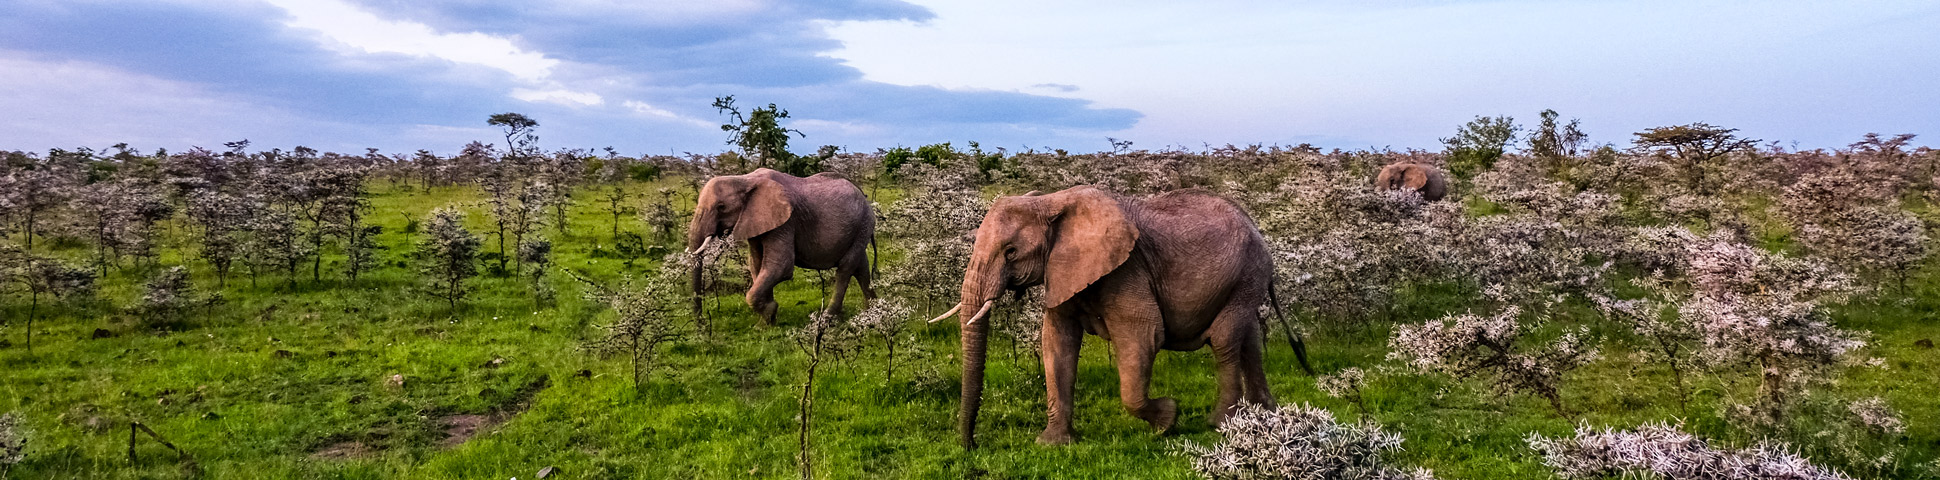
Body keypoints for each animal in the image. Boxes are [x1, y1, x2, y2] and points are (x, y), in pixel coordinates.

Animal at [679, 168, 869, 326]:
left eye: (721, 207)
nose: (701, 323)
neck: (745, 180)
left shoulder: (785, 222)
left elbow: (780, 266)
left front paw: (768, 313)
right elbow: (757, 265)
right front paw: (765, 323)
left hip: (863, 225)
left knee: (845, 268)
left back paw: (828, 319)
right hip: (860, 229)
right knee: (861, 268)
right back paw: (870, 311)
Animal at [927, 185, 1319, 448]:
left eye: (1010, 252)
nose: (971, 446)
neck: (1052, 201)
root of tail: (1256, 227)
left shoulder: (1127, 270)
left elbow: (1143, 337)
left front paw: (1167, 420)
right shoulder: (1062, 271)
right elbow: (1057, 343)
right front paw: (1054, 443)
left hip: (1247, 272)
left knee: (1224, 340)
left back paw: (1221, 423)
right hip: (1245, 279)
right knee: (1247, 338)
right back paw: (1265, 415)